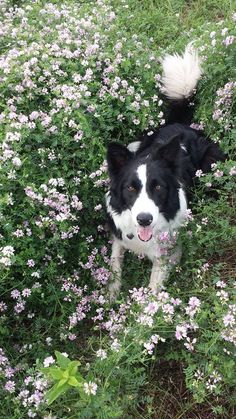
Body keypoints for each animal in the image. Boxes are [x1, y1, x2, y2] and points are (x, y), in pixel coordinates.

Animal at [106, 46, 224, 300]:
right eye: (130, 188)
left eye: (158, 187)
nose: (144, 219)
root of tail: (182, 125)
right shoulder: (118, 234)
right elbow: (114, 263)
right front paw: (109, 297)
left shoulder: (168, 251)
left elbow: (152, 288)